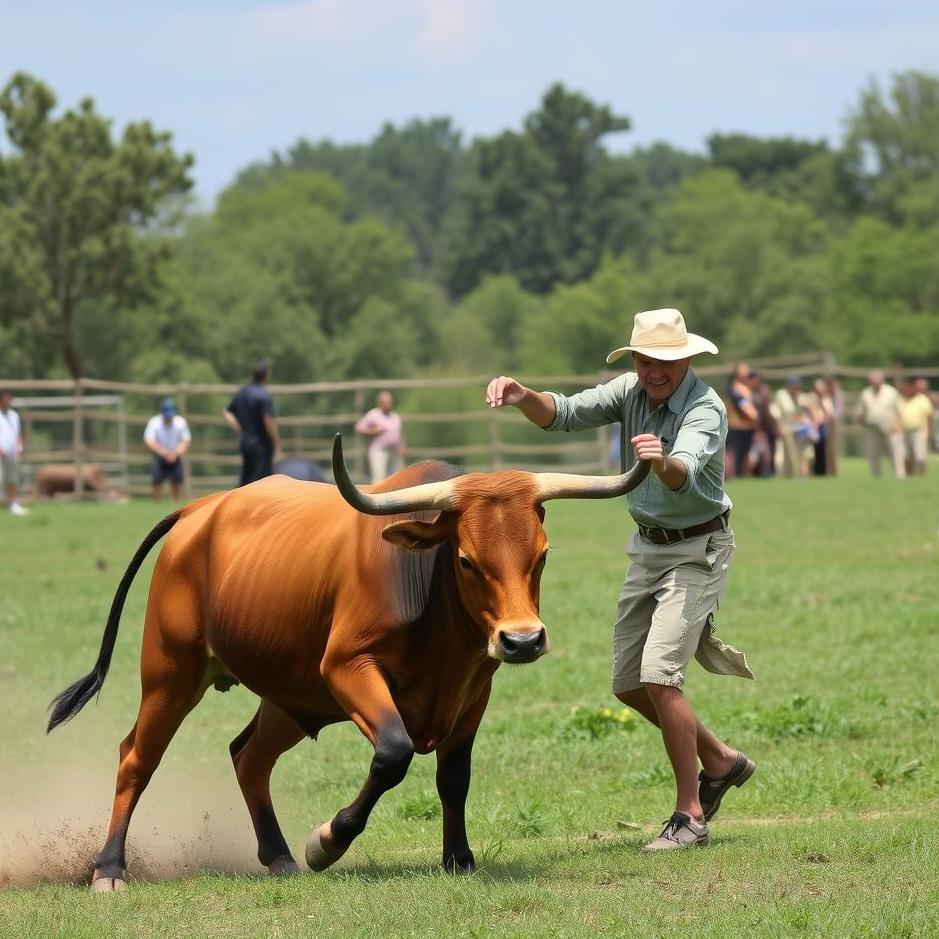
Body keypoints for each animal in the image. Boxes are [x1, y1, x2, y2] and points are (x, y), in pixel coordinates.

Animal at [47, 434, 649, 890]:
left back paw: (279, 856)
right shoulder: (346, 669)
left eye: (541, 555)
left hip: (289, 698)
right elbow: (393, 753)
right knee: (136, 758)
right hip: (171, 674)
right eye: (465, 559)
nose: (522, 640)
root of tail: (201, 512)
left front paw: (458, 858)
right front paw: (327, 841)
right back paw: (109, 868)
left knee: (249, 757)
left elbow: (454, 777)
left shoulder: (475, 690)